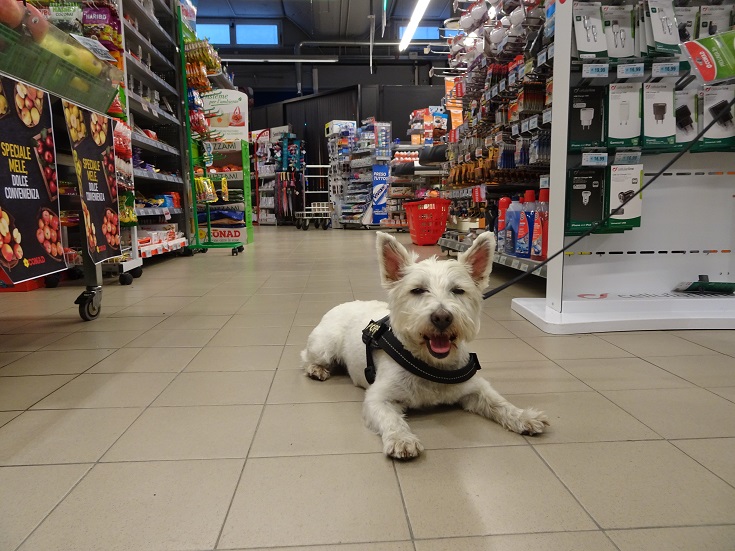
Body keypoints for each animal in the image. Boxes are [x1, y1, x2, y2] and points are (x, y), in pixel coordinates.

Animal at [302, 233, 548, 462]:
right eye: (417, 290)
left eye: (458, 290)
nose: (442, 318)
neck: (431, 364)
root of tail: (342, 303)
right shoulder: (378, 397)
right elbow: (390, 417)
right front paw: (402, 439)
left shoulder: (475, 388)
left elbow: (499, 402)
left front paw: (525, 417)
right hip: (324, 346)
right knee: (306, 356)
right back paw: (316, 370)